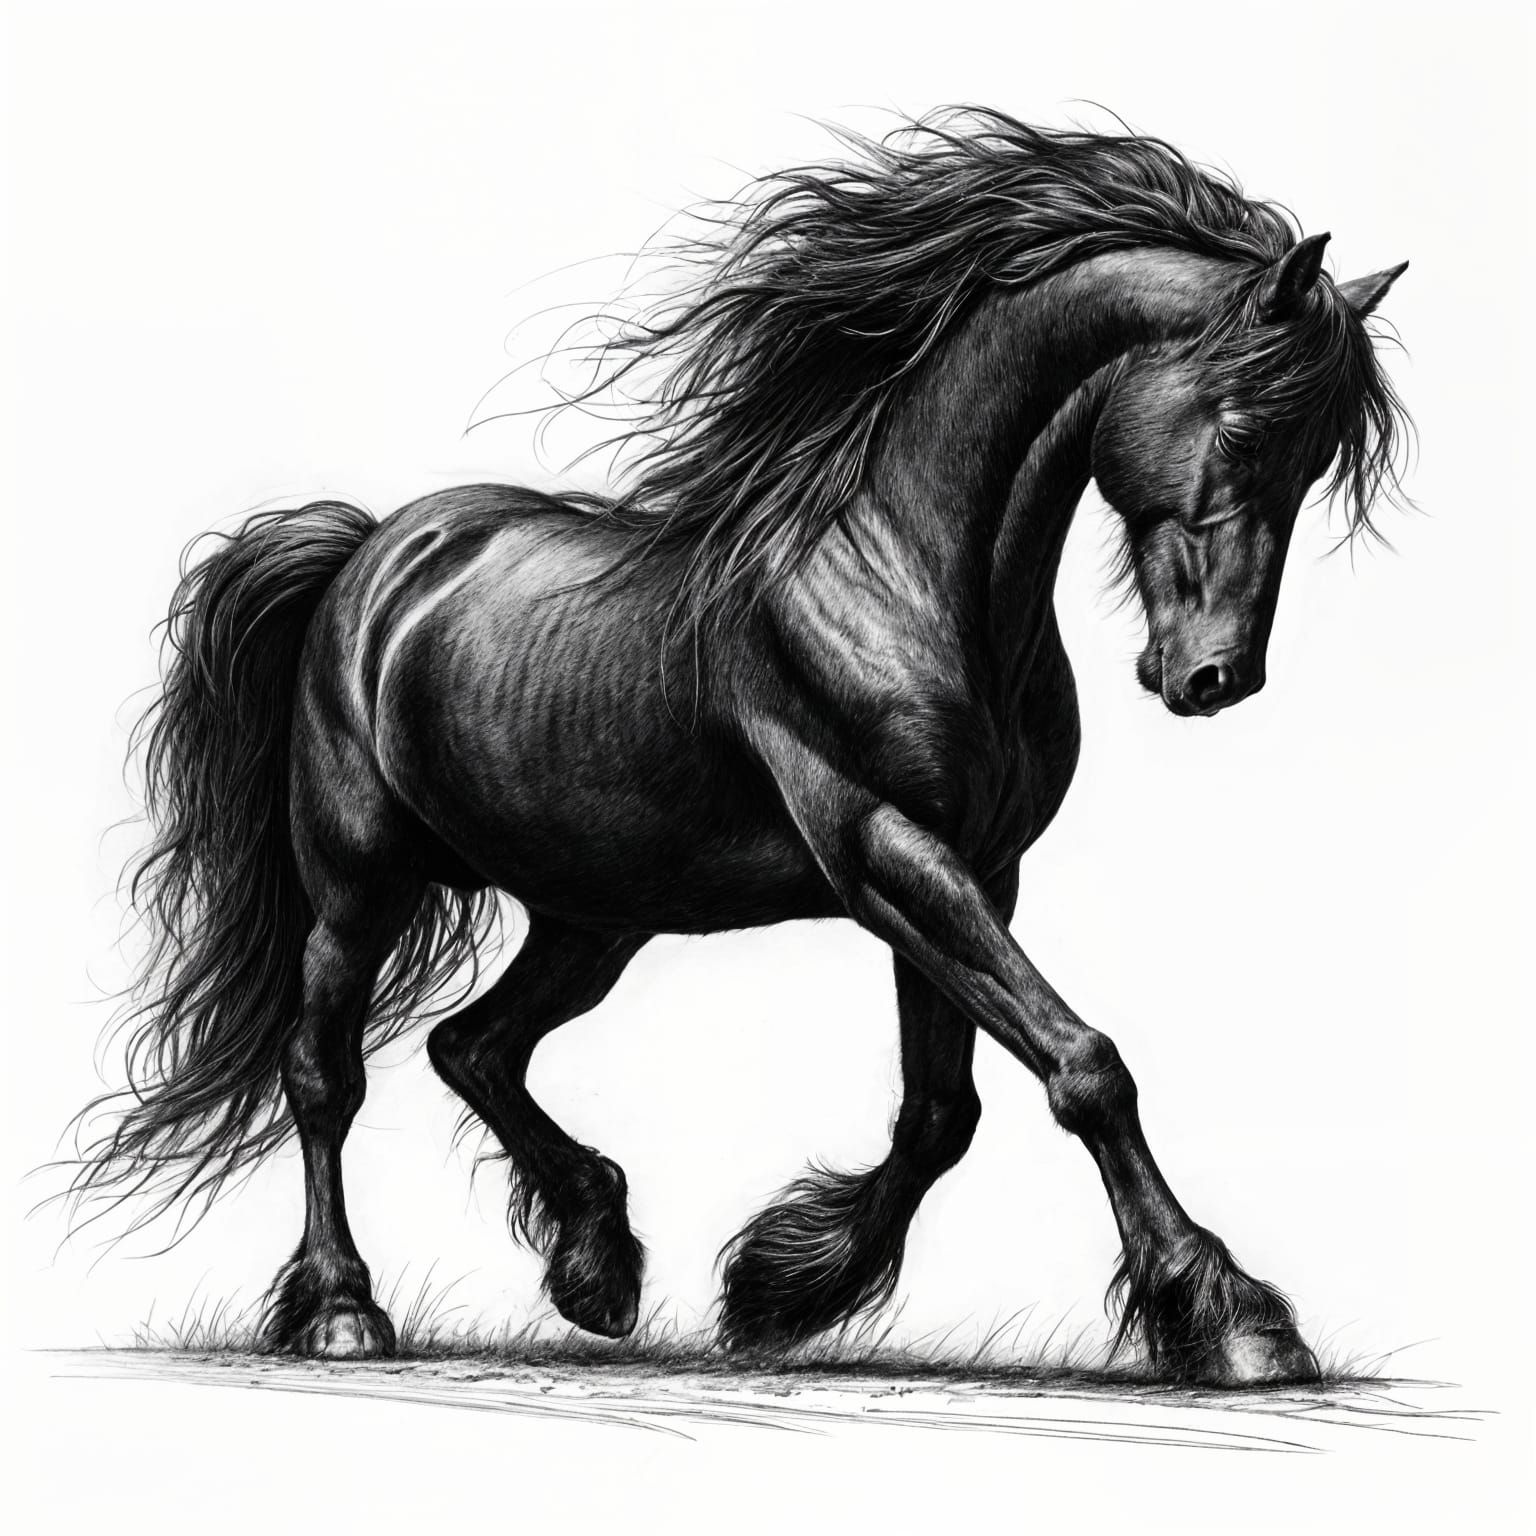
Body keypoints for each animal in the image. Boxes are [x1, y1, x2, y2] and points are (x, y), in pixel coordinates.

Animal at [69, 108, 1410, 1384]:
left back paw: (597, 1265)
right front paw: (1232, 1319)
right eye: (1242, 429)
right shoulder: (885, 850)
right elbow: (1082, 1065)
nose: (1214, 679)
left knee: (475, 1046)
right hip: (359, 886)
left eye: (1313, 462)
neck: (902, 569)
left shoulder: (975, 867)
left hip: (595, 913)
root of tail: (366, 551)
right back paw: (344, 1309)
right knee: (325, 1076)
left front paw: (778, 1292)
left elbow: (942, 1110)